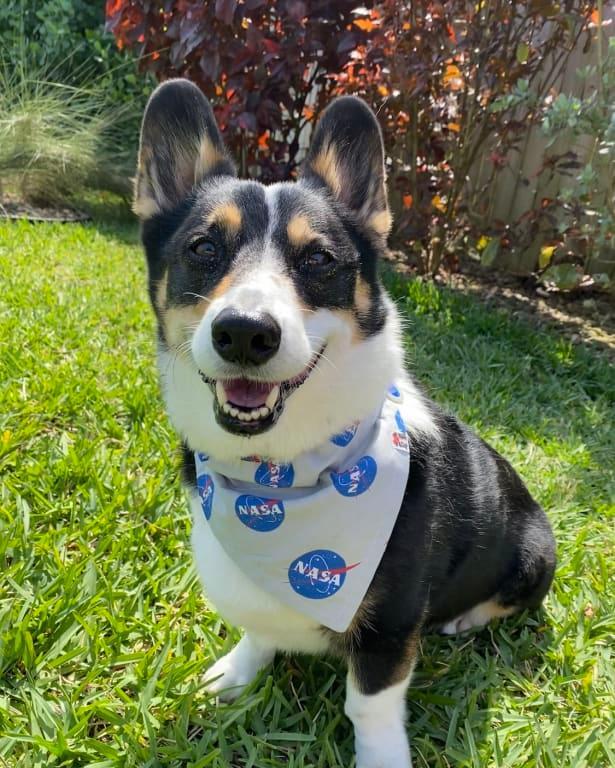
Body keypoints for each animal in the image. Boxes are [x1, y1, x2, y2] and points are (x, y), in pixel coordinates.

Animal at [136, 79, 560, 768]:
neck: (280, 475)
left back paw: (465, 619)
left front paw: (380, 755)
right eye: (203, 248)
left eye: (318, 259)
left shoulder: (390, 628)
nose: (244, 333)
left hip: (533, 552)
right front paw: (235, 674)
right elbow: (258, 631)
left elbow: (368, 705)